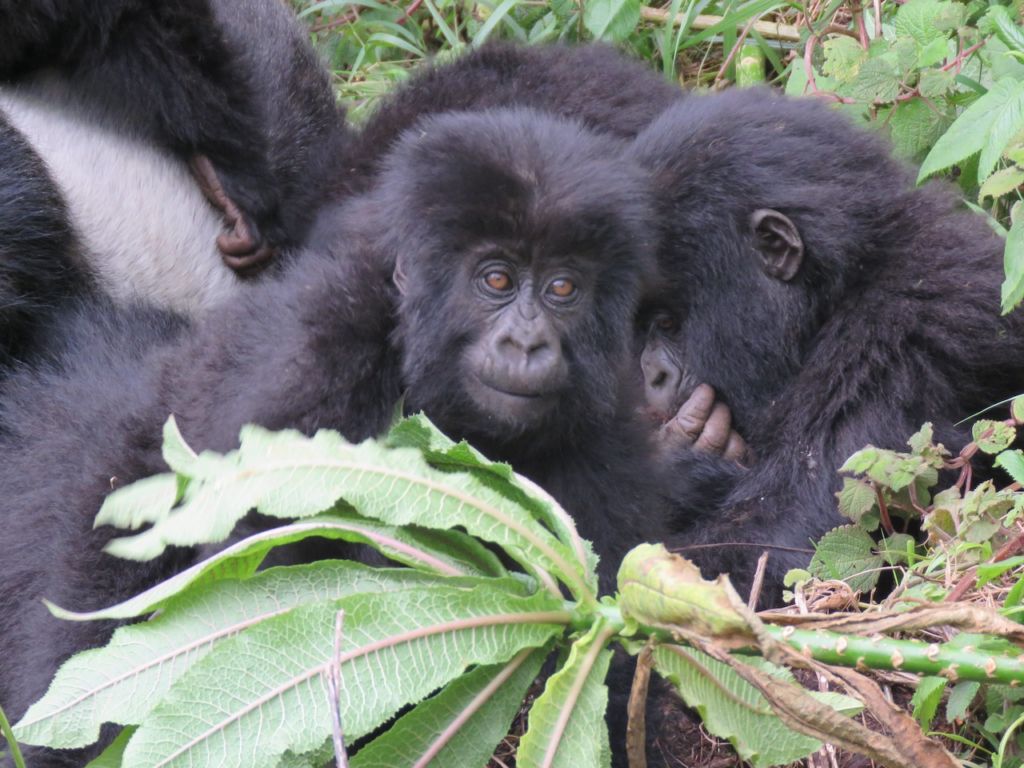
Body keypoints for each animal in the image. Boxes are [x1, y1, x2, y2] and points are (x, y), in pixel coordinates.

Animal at [0, 107, 671, 765]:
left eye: (563, 288)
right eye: (498, 281)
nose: (528, 344)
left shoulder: (605, 410)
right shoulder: (319, 356)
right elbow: (253, 566)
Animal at [626, 91, 1024, 602]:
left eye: (668, 322)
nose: (648, 374)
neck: (844, 288)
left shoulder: (896, 340)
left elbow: (776, 546)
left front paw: (676, 472)